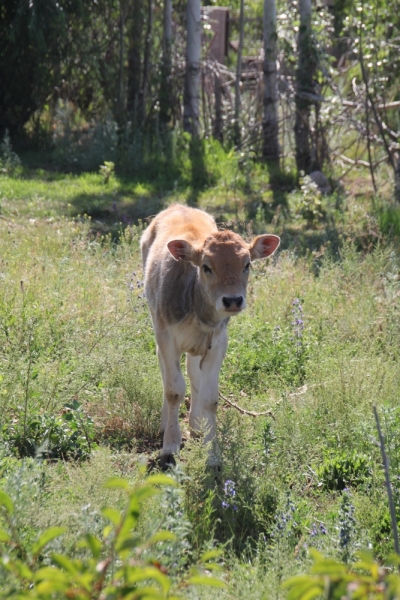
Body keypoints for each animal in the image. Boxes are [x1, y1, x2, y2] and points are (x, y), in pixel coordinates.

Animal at [141, 204, 282, 466]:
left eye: (247, 264)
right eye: (206, 266)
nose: (232, 300)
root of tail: (178, 206)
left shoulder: (218, 343)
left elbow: (210, 397)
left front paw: (213, 453)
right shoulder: (166, 337)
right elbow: (174, 390)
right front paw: (170, 446)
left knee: (193, 371)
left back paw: (197, 424)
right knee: (166, 370)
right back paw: (165, 423)